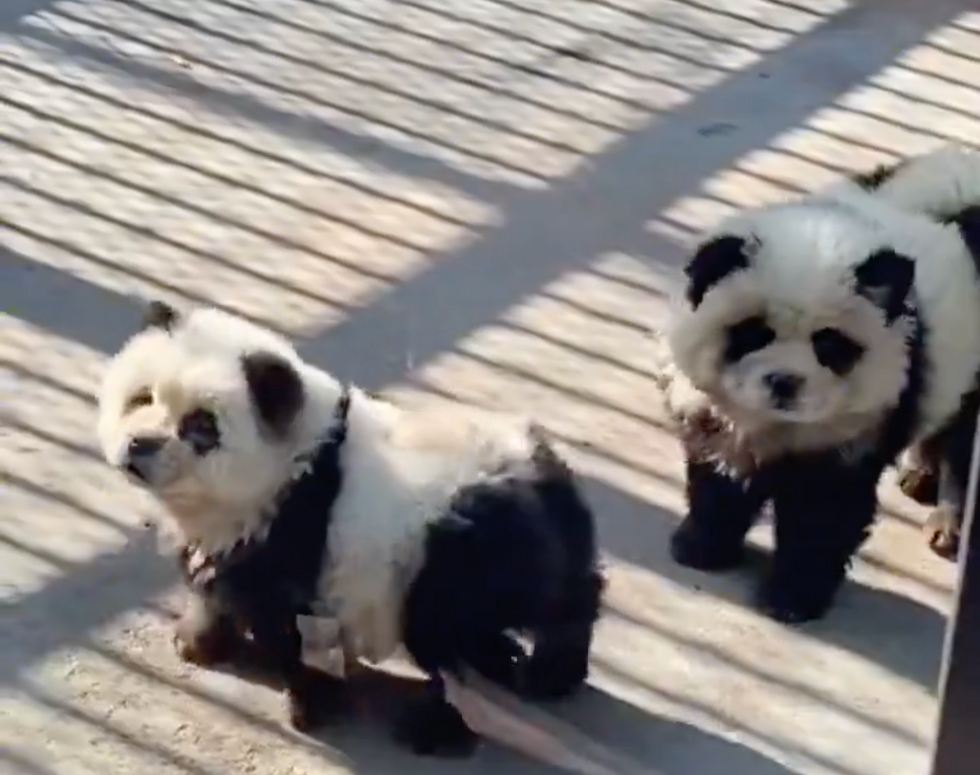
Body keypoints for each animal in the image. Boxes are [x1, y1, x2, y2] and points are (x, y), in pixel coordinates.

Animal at [99, 302, 604, 756]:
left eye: (201, 426)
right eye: (140, 397)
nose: (140, 445)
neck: (297, 461)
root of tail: (547, 480)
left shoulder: (296, 531)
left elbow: (293, 623)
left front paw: (310, 703)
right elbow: (217, 581)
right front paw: (198, 639)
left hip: (453, 556)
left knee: (458, 642)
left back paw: (440, 728)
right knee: (566, 598)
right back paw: (556, 670)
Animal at [664, 170, 980, 624]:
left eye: (828, 344)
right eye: (754, 332)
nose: (784, 382)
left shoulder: (858, 426)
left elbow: (824, 511)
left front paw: (791, 598)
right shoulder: (720, 416)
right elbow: (720, 476)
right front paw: (700, 547)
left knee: (964, 441)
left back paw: (947, 522)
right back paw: (919, 472)